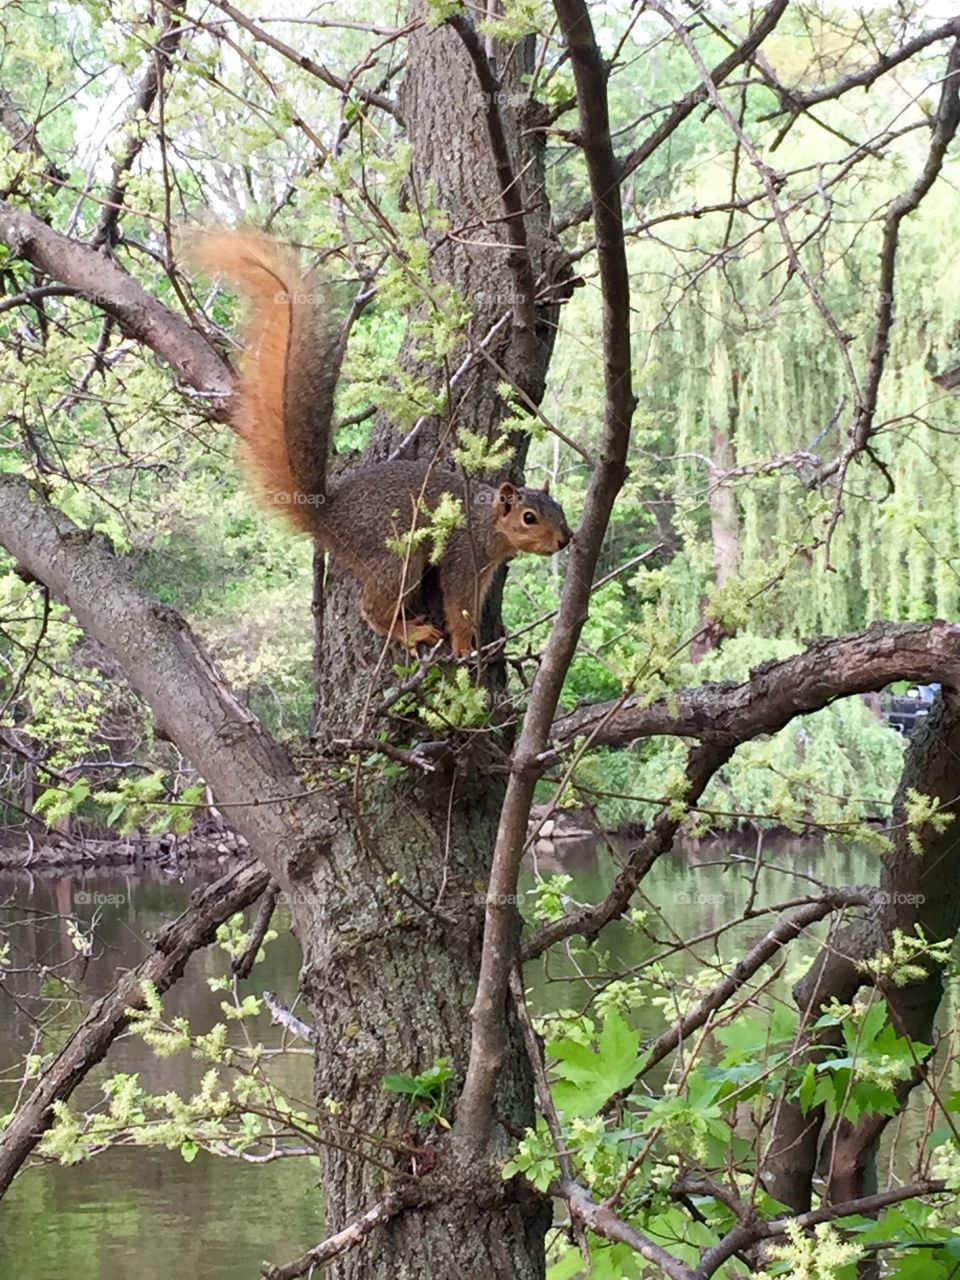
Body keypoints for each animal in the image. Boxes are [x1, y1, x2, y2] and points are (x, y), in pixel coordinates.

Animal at [190, 230, 573, 656]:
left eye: (559, 508)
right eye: (529, 518)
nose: (565, 539)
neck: (487, 522)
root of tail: (328, 519)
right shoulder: (463, 557)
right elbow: (457, 605)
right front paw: (463, 645)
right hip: (394, 559)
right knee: (372, 608)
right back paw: (410, 632)